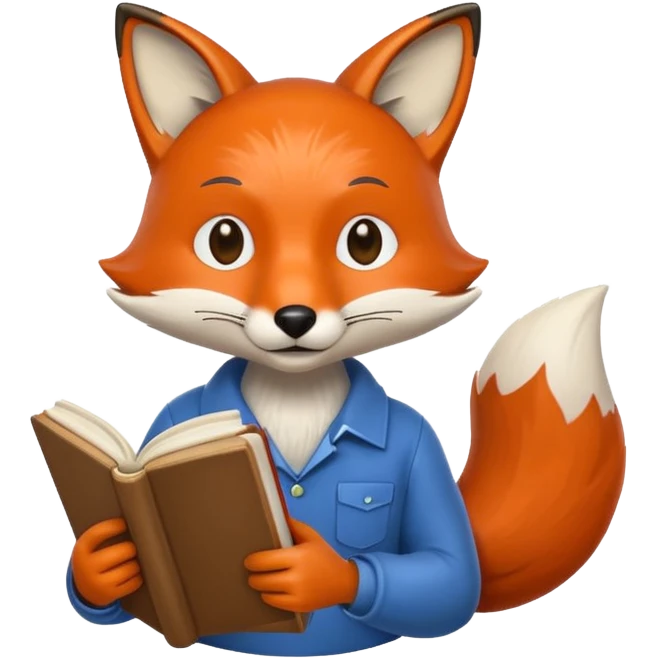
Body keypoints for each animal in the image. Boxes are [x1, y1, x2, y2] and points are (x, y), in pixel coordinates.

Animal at [65, 2, 626, 655]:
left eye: (365, 241)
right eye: (225, 242)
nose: (295, 317)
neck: (296, 399)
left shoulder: (421, 446)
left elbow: (451, 575)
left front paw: (312, 574)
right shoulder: (171, 422)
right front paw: (105, 561)